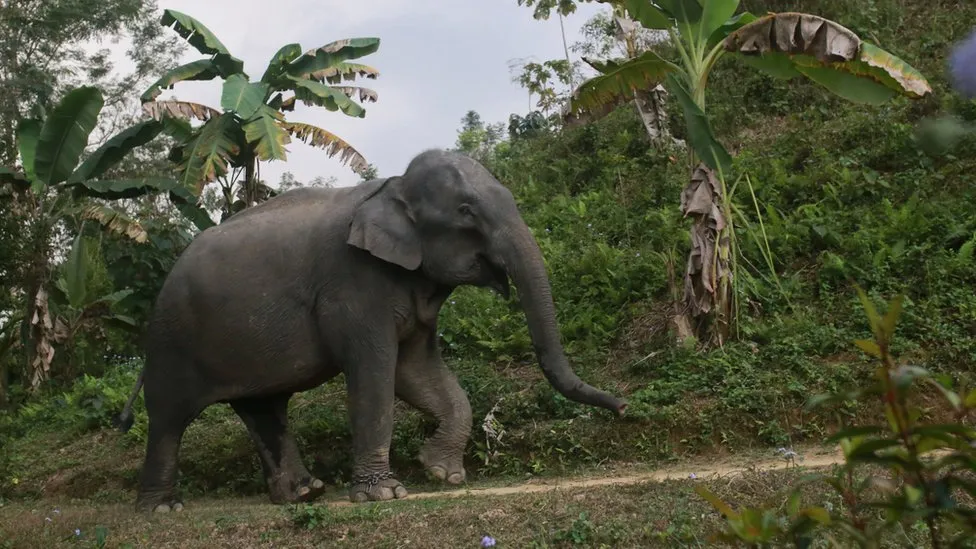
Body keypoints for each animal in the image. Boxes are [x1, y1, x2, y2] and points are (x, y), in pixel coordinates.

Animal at [116, 148, 624, 512]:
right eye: (466, 212)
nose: (623, 406)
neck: (391, 188)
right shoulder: (353, 284)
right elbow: (376, 373)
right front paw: (384, 495)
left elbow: (418, 374)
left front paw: (442, 474)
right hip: (172, 339)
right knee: (169, 417)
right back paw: (161, 510)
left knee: (263, 408)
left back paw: (304, 493)